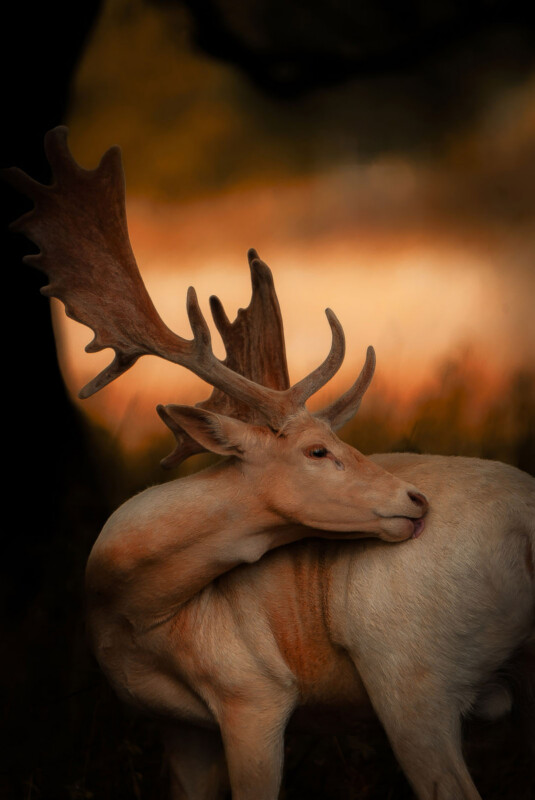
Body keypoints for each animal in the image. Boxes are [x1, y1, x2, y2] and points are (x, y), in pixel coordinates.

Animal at [7, 127, 535, 800]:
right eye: (317, 449)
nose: (415, 500)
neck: (133, 612)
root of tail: (525, 527)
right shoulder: (178, 728)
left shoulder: (254, 693)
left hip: (409, 671)